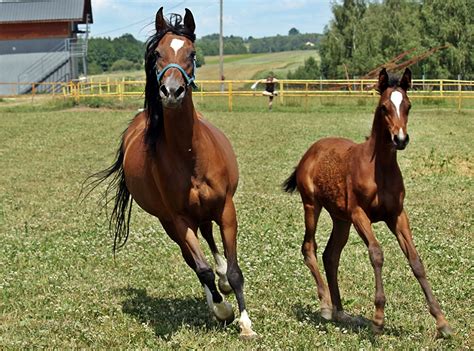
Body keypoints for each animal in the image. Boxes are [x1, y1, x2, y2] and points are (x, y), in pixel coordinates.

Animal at [284, 68, 454, 338]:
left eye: (408, 105)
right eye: (384, 107)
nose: (400, 139)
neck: (379, 169)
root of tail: (310, 152)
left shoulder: (397, 215)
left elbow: (415, 260)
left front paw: (442, 322)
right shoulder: (359, 214)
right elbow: (377, 254)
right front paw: (378, 318)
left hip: (340, 219)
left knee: (331, 255)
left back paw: (341, 312)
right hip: (312, 206)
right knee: (309, 247)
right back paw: (325, 306)